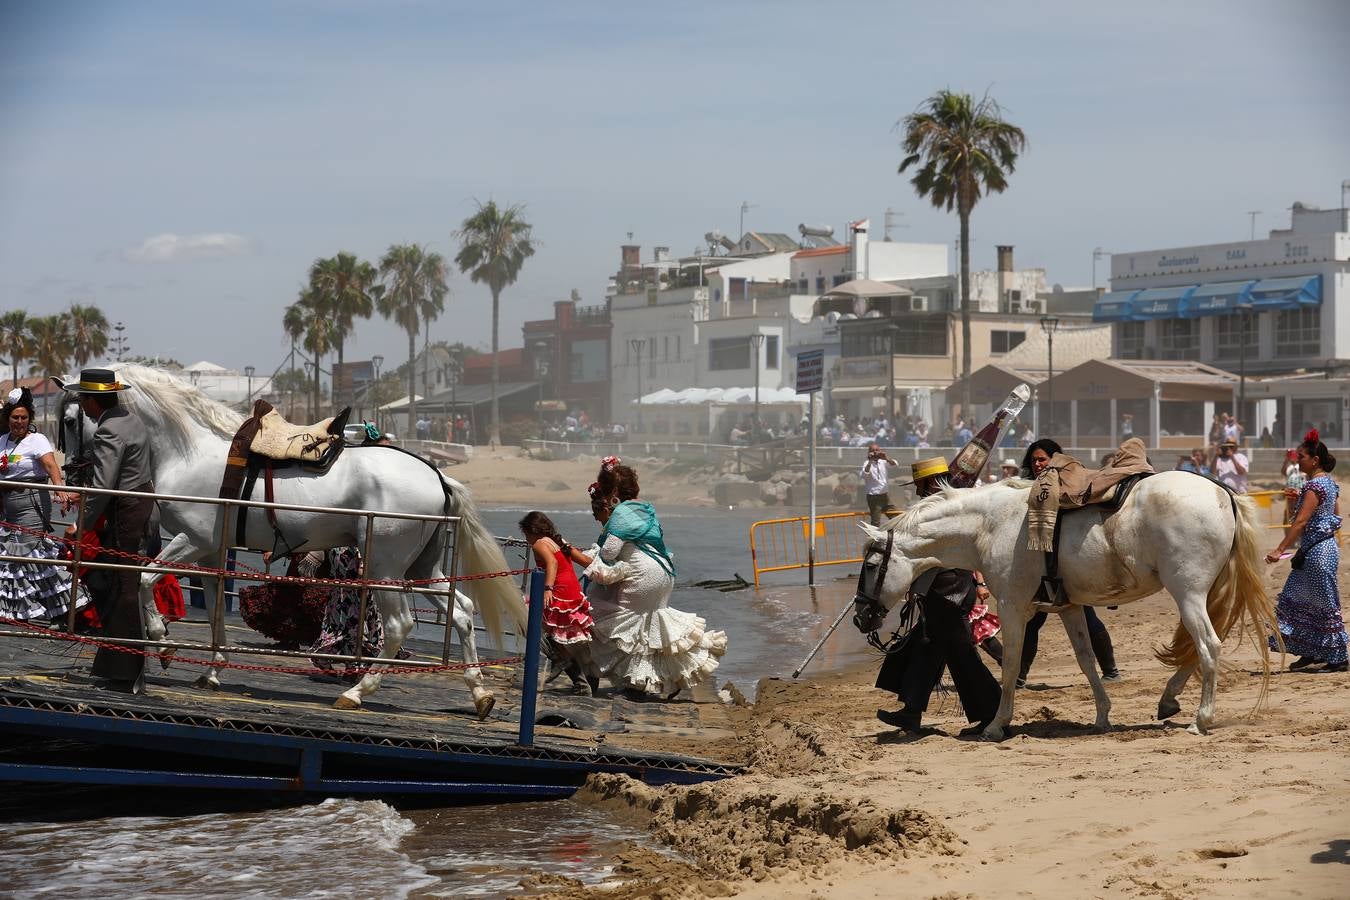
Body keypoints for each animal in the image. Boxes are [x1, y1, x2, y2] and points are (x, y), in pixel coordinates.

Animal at [60, 367, 521, 717]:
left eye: (67, 419)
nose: (68, 471)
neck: (189, 452)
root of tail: (437, 475)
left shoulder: (191, 541)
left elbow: (143, 578)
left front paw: (163, 642)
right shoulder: (210, 549)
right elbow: (214, 608)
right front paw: (212, 669)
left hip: (386, 568)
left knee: (399, 625)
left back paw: (357, 692)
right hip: (422, 568)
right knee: (462, 611)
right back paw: (479, 693)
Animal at [853, 472, 1274, 739]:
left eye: (871, 566)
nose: (860, 617)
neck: (989, 525)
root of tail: (1221, 492)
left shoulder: (1012, 607)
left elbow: (1010, 666)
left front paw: (996, 725)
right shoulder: (1070, 608)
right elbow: (1087, 661)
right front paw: (1102, 715)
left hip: (1187, 592)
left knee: (1208, 646)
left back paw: (1201, 719)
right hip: (1202, 594)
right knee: (1204, 645)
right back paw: (1169, 700)